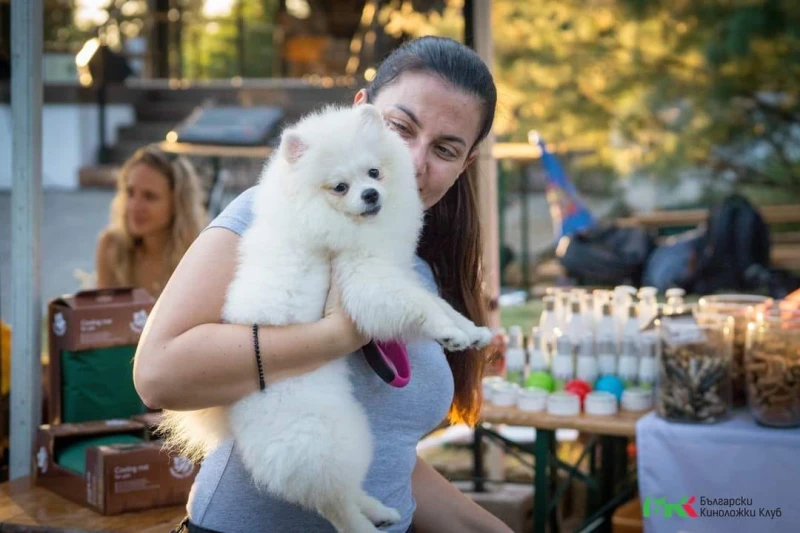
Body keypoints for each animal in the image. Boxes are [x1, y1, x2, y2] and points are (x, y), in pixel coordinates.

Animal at [159, 105, 490, 532]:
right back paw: (363, 524)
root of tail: (230, 412)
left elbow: (437, 302)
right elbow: (419, 305)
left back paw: (379, 510)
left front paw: (471, 329)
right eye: (340, 187)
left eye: (374, 173)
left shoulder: (392, 270)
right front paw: (450, 333)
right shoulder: (367, 278)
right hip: (323, 438)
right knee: (333, 501)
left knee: (345, 491)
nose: (370, 194)